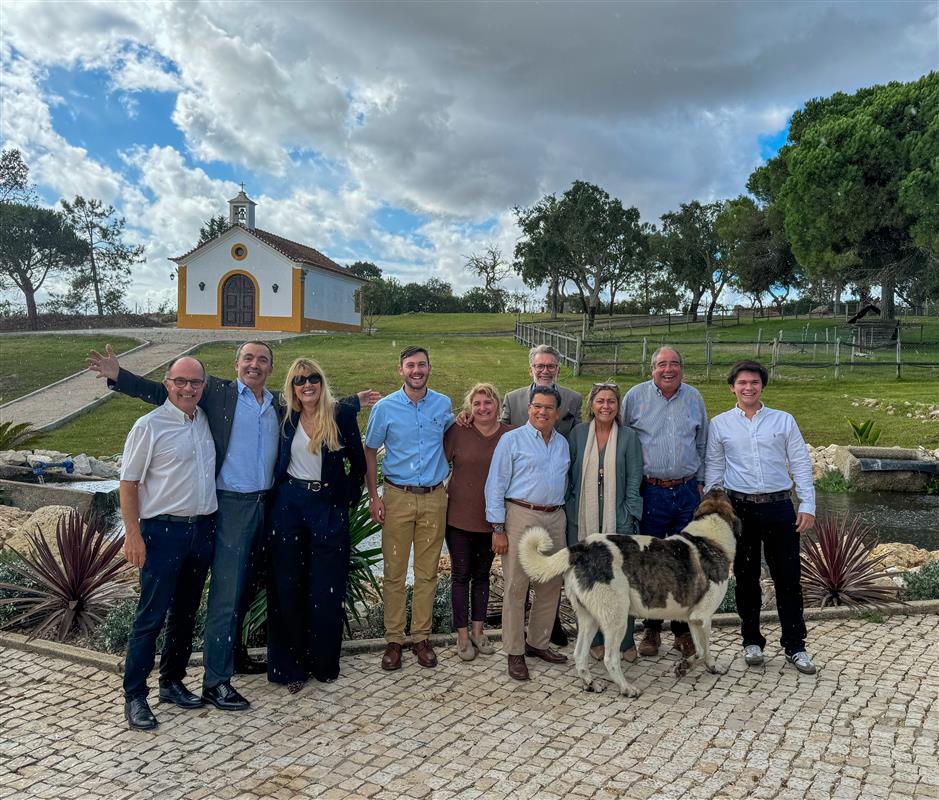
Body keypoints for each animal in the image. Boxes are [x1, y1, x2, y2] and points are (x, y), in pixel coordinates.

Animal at [516, 484, 740, 696]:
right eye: (724, 495)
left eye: (715, 494)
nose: (717, 485)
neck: (710, 534)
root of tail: (581, 548)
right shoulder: (703, 617)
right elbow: (703, 650)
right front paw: (690, 666)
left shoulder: (694, 619)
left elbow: (703, 649)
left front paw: (705, 667)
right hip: (617, 619)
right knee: (610, 658)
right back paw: (626, 688)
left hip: (589, 618)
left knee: (579, 655)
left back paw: (590, 684)